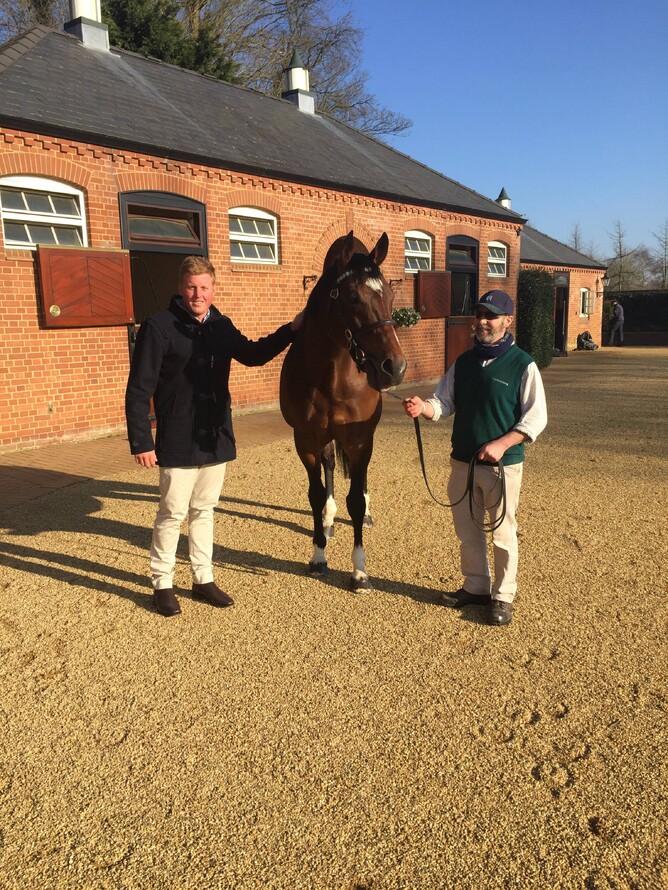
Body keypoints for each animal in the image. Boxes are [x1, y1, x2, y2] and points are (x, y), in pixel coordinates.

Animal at [280, 231, 407, 592]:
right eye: (352, 296)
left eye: (390, 294)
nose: (394, 368)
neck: (331, 376)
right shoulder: (306, 441)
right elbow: (315, 493)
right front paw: (318, 555)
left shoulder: (360, 440)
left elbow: (356, 500)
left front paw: (360, 571)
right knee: (331, 468)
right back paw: (328, 518)